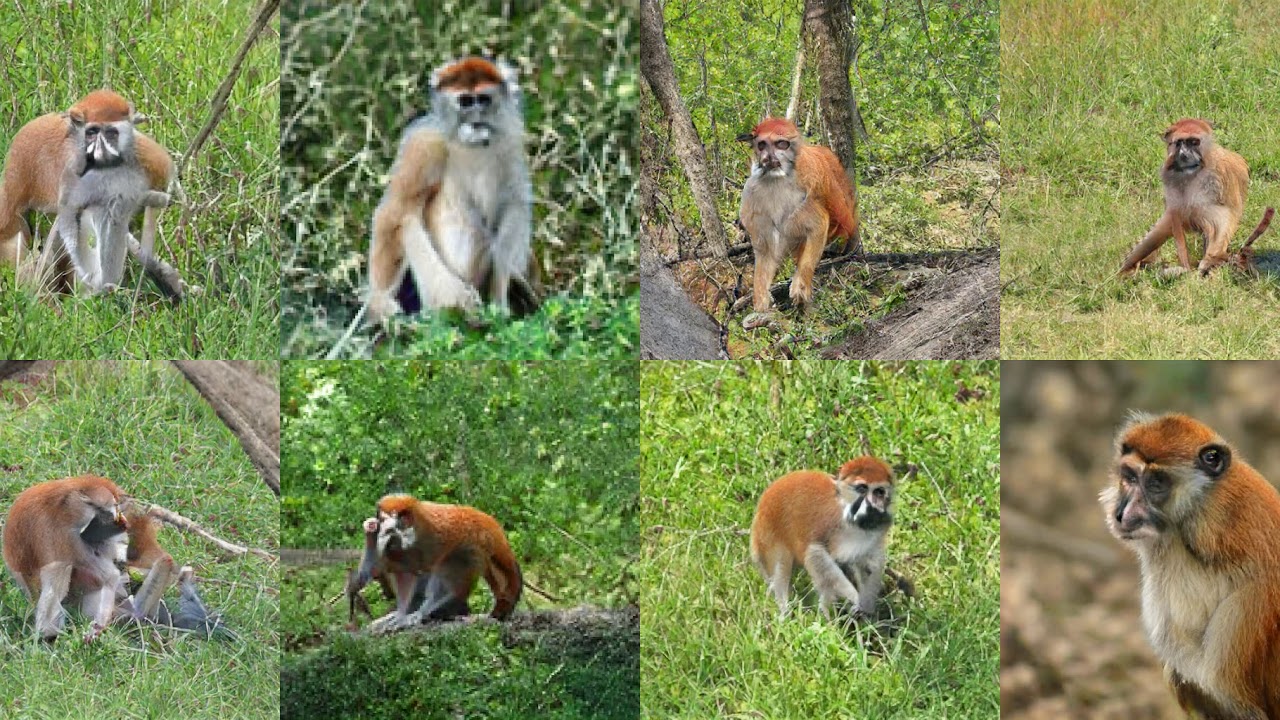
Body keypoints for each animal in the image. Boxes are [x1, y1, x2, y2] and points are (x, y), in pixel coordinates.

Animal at [348, 493, 522, 631]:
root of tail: (492, 525)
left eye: (401, 520)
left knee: (451, 563)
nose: (389, 528)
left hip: (477, 544)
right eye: (382, 519)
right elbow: (389, 571)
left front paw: (415, 614)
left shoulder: (432, 538)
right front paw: (371, 529)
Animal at [361, 57, 539, 326]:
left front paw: (500, 301)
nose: (476, 119)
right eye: (465, 101)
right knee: (409, 221)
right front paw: (380, 303)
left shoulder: (509, 139)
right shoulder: (424, 142)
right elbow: (394, 212)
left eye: (483, 99)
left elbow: (513, 205)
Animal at [736, 117, 859, 329]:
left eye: (780, 144)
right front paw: (761, 302)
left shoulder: (806, 186)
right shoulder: (751, 196)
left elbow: (818, 226)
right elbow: (766, 250)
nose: (768, 157)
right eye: (762, 145)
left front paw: (800, 285)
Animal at [750, 457, 895, 620]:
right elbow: (815, 553)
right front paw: (853, 597)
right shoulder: (832, 524)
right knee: (782, 564)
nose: (872, 505)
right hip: (766, 535)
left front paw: (866, 607)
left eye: (879, 492)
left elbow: (869, 565)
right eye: (862, 489)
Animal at [1119, 119, 1273, 277]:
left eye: (1193, 142)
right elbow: (1175, 212)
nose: (1184, 154)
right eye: (1179, 143)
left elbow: (1226, 215)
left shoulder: (1217, 176)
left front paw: (1207, 263)